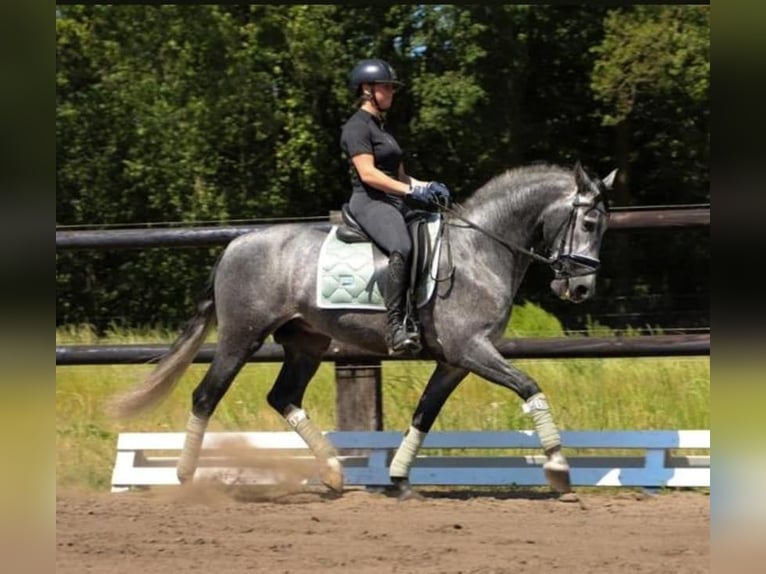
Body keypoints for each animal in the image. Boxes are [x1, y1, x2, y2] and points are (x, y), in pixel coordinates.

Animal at [110, 161, 615, 499]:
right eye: (590, 222)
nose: (581, 288)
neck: (479, 251)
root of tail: (236, 244)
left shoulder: (455, 361)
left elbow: (424, 413)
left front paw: (398, 478)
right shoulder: (471, 349)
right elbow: (530, 386)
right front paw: (558, 468)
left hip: (306, 343)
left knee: (282, 397)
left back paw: (335, 473)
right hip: (241, 336)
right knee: (206, 396)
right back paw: (185, 478)